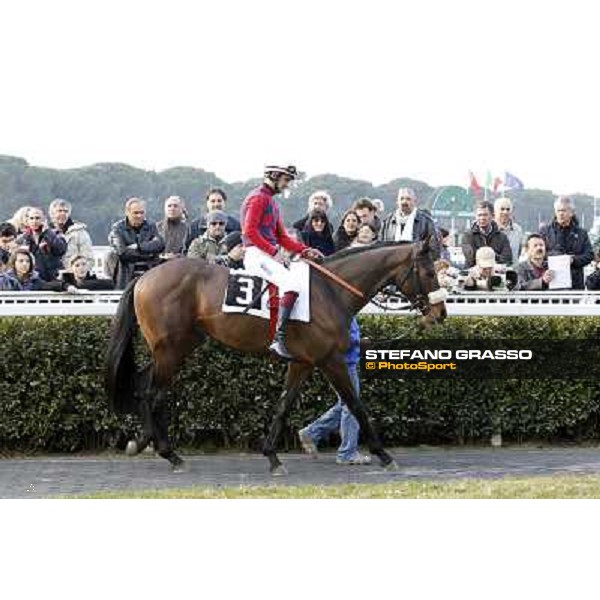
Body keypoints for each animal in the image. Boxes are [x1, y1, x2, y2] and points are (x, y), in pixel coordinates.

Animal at [106, 239, 446, 474]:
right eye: (430, 272)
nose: (440, 314)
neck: (330, 291)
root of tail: (145, 277)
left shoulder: (303, 362)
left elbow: (284, 405)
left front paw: (271, 455)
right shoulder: (330, 361)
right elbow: (355, 404)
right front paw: (384, 455)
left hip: (179, 346)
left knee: (144, 386)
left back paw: (143, 441)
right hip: (171, 349)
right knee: (152, 394)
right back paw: (170, 454)